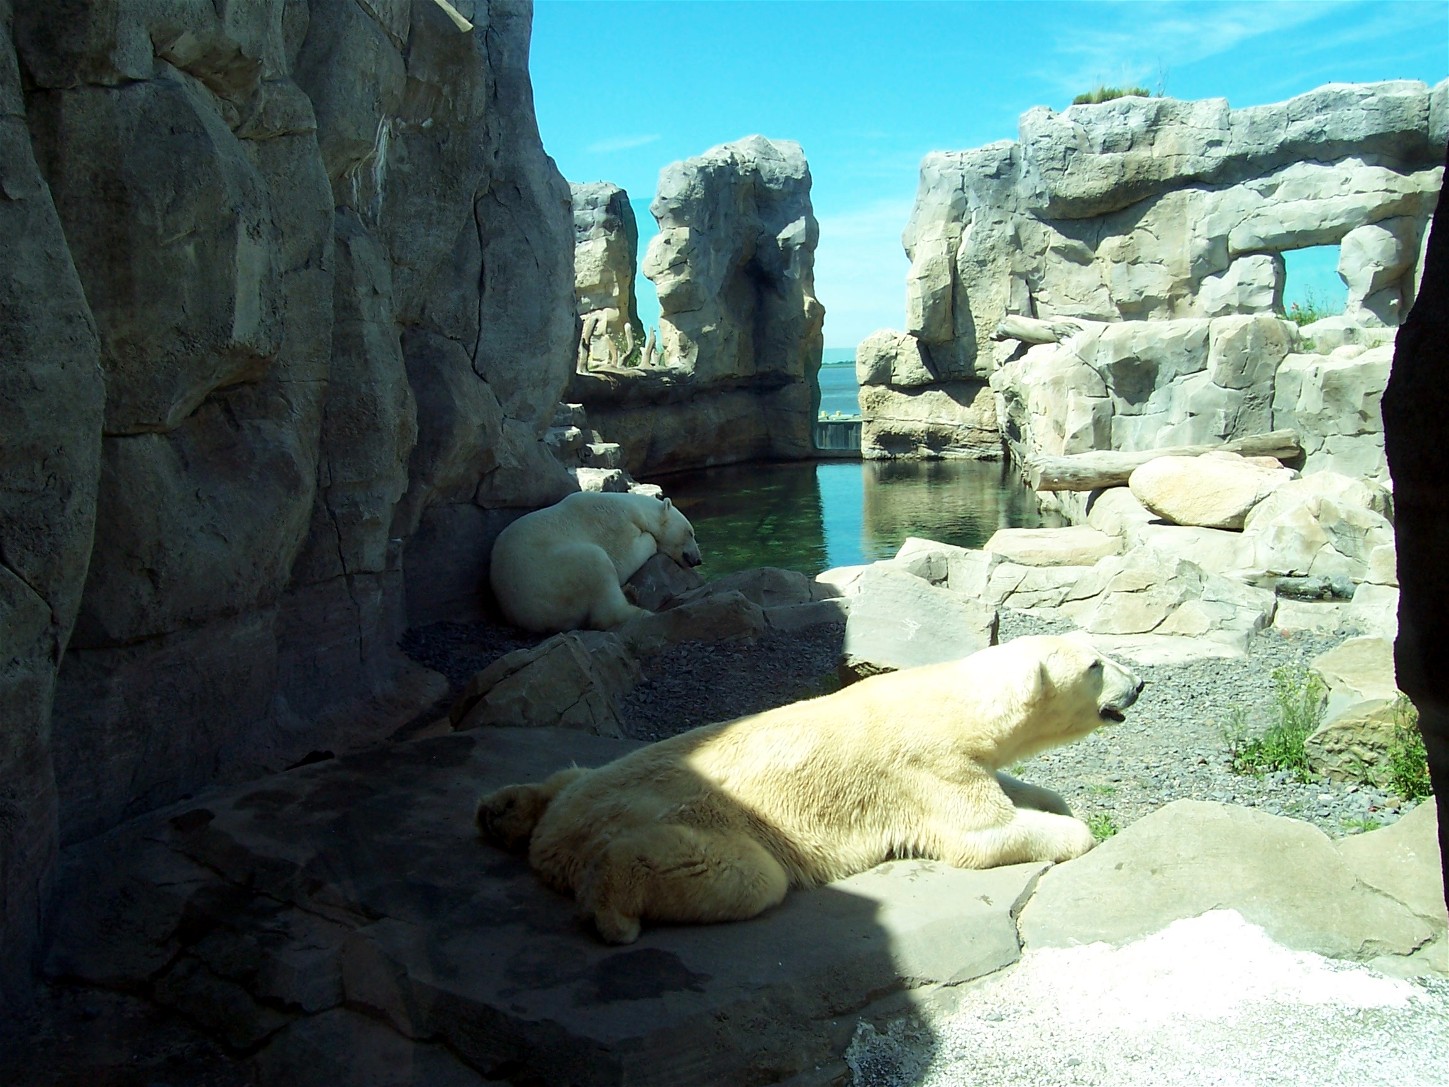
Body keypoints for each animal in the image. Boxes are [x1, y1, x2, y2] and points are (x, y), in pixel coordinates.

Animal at [476, 634, 1143, 943]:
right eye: (1095, 665)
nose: (1138, 686)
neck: (951, 704)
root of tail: (557, 837)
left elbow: (1008, 788)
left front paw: (1051, 798)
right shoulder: (926, 767)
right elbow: (984, 832)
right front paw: (1074, 828)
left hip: (590, 785)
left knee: (569, 776)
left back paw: (502, 810)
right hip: (696, 821)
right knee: (742, 876)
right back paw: (612, 911)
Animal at [488, 491, 702, 634]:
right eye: (690, 532)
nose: (698, 559)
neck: (637, 509)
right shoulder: (613, 523)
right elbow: (624, 557)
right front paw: (651, 540)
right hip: (552, 576)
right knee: (597, 566)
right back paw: (640, 610)